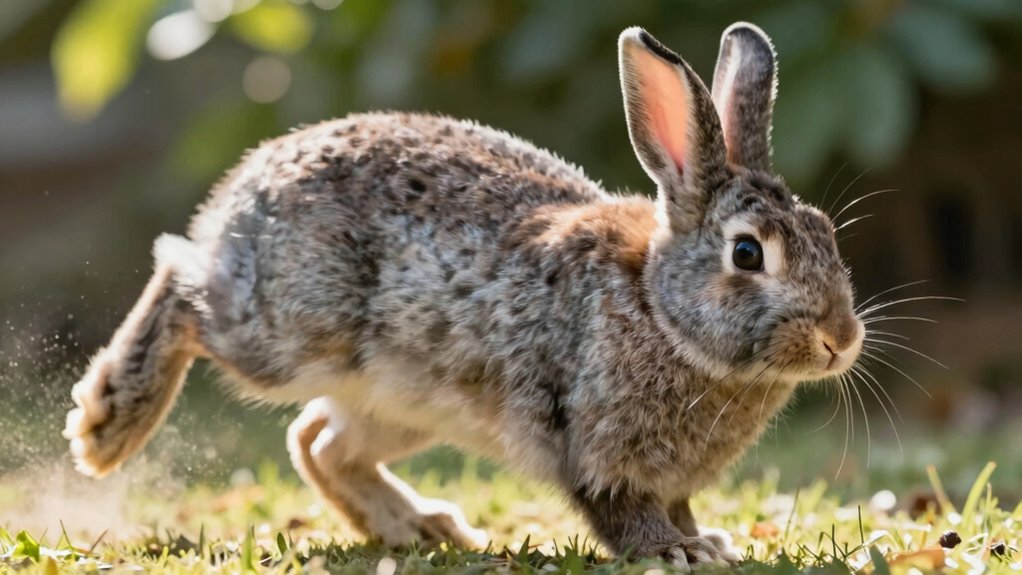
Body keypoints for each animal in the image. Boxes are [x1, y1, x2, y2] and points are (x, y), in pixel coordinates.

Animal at [64, 23, 864, 568]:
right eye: (747, 253)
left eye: (827, 234)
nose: (840, 339)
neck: (659, 309)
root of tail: (250, 175)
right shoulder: (595, 444)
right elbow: (624, 513)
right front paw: (680, 552)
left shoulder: (669, 475)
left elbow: (680, 506)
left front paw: (709, 540)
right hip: (287, 328)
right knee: (182, 283)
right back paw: (108, 422)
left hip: (403, 401)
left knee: (317, 440)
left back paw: (420, 527)